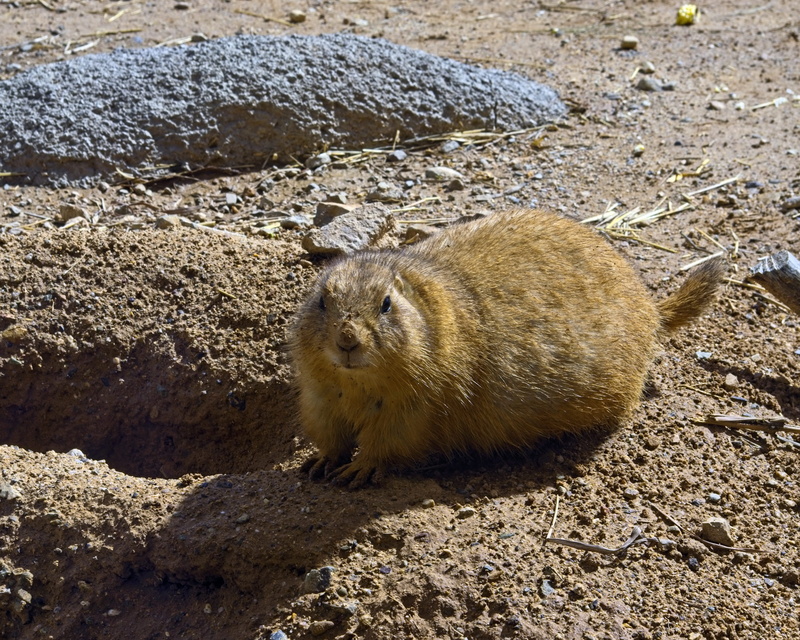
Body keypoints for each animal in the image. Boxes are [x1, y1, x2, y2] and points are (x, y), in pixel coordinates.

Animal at [289, 208, 725, 488]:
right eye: (322, 301)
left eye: (385, 304)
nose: (347, 340)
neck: (357, 385)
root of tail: (651, 305)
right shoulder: (318, 393)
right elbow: (327, 430)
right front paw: (320, 461)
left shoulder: (416, 403)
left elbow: (391, 440)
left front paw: (359, 470)